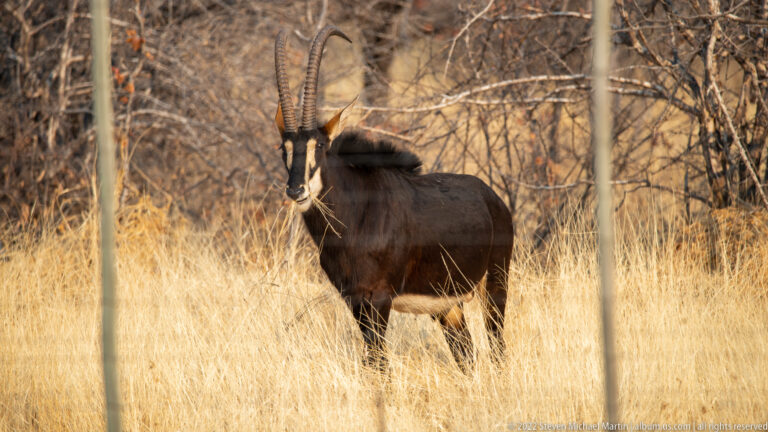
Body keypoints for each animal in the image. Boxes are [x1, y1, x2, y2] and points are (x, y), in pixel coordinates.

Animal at [273, 25, 513, 373]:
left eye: (320, 145)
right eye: (284, 147)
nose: (296, 191)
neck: (354, 217)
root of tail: (494, 200)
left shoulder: (379, 297)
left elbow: (378, 363)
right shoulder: (355, 299)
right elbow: (372, 361)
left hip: (494, 285)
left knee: (497, 348)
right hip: (448, 305)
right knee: (466, 355)